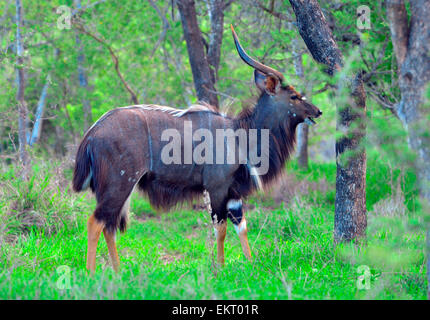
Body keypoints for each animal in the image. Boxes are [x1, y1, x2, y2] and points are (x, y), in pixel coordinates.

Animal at [73, 26, 322, 274]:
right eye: (294, 96)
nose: (317, 111)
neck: (240, 135)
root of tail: (91, 135)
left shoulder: (233, 192)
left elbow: (241, 225)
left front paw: (250, 263)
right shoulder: (217, 187)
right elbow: (220, 228)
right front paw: (220, 267)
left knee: (109, 225)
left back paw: (118, 272)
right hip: (120, 183)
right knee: (96, 222)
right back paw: (91, 274)